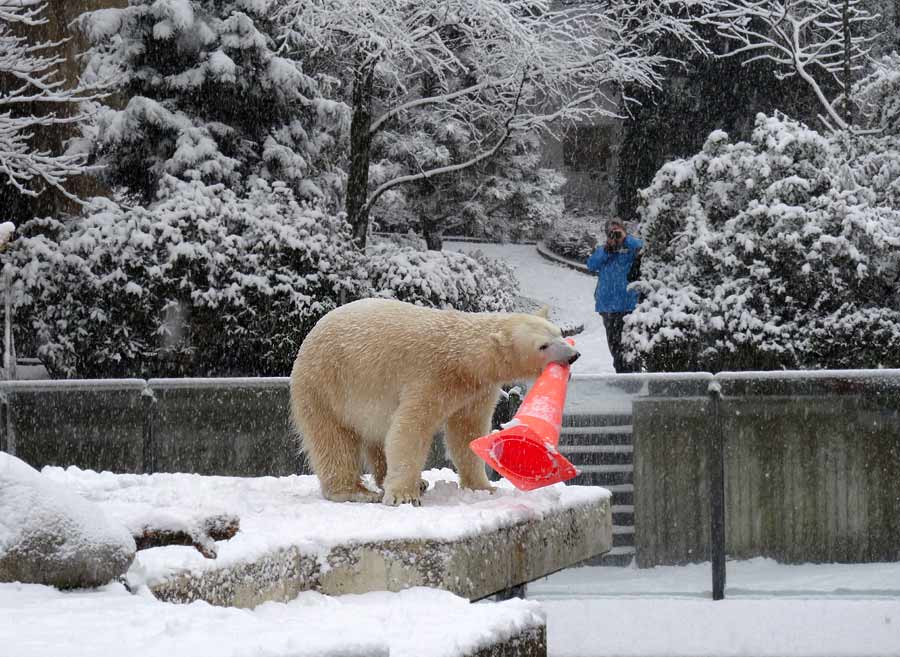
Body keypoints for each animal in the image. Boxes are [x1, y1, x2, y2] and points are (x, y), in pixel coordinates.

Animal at [292, 300, 580, 504]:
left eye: (559, 333)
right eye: (543, 346)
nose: (573, 355)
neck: (462, 355)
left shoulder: (477, 389)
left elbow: (467, 433)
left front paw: (483, 487)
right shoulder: (431, 376)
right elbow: (411, 429)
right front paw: (403, 496)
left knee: (376, 437)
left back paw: (411, 481)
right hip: (325, 385)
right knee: (333, 440)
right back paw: (356, 491)